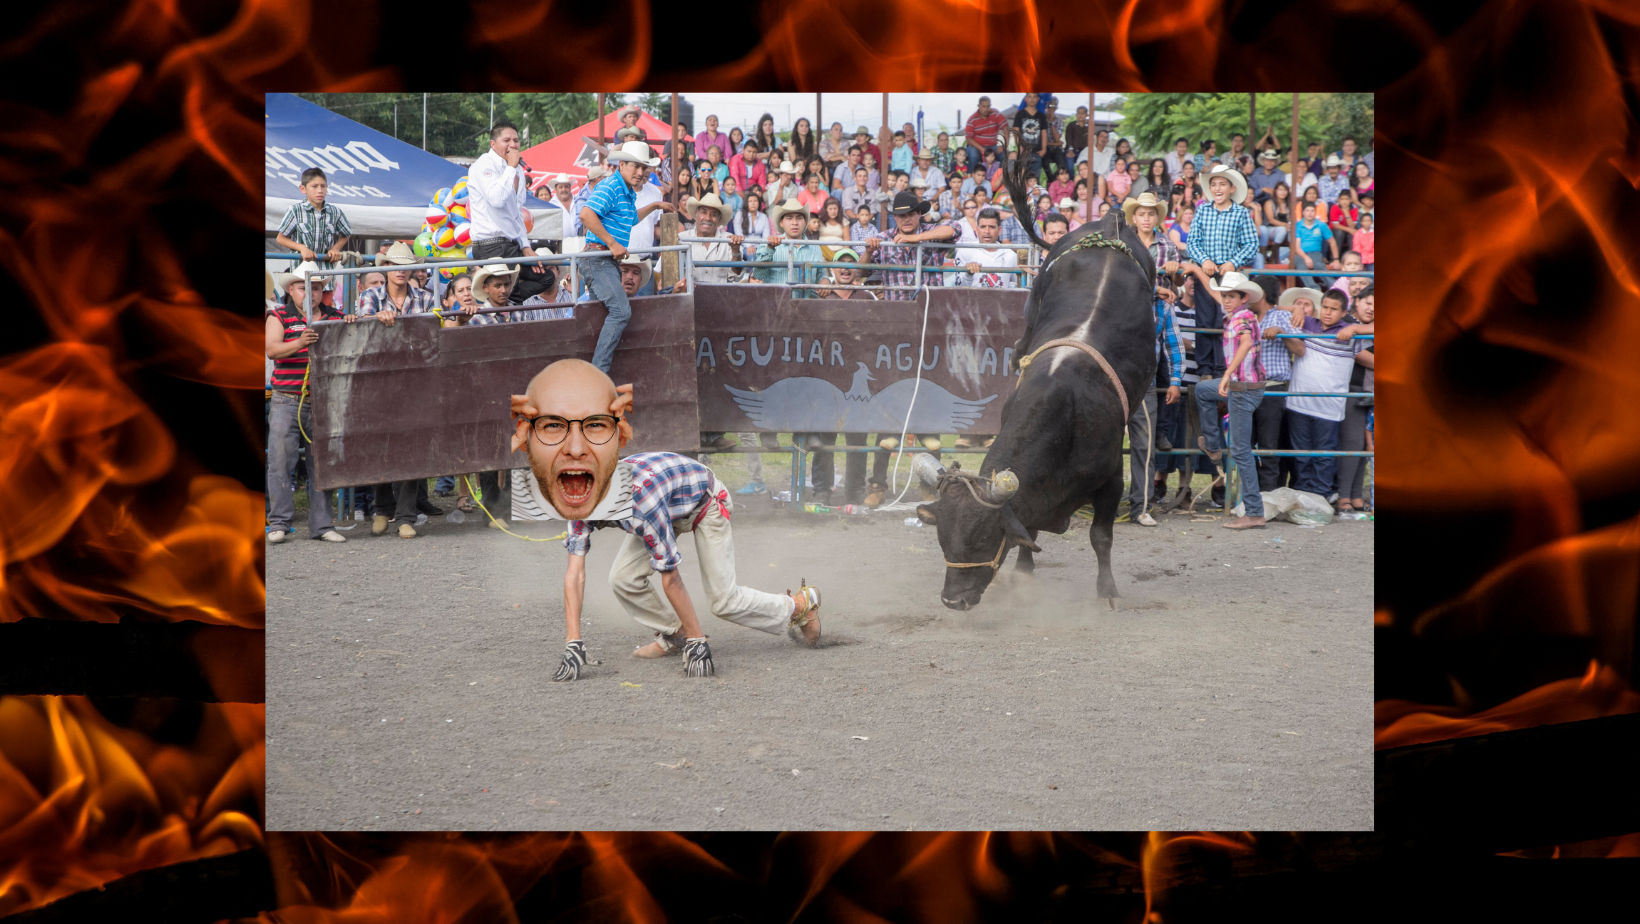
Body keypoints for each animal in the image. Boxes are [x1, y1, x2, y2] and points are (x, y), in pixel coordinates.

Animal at [918, 206, 1161, 613]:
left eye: (983, 538)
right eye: (942, 540)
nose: (953, 600)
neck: (1067, 411)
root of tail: (1111, 221)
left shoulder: (1112, 479)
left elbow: (1100, 537)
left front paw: (1108, 591)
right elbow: (1028, 528)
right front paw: (1023, 574)